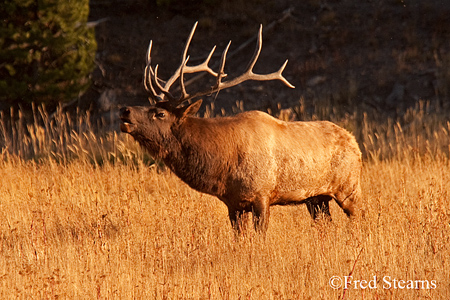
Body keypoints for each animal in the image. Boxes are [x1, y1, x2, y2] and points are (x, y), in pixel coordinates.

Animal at [120, 22, 362, 234]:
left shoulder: (262, 194)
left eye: (160, 114)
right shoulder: (233, 203)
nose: (125, 110)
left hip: (349, 186)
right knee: (325, 224)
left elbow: (260, 234)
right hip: (316, 197)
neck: (223, 165)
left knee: (359, 217)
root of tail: (354, 142)